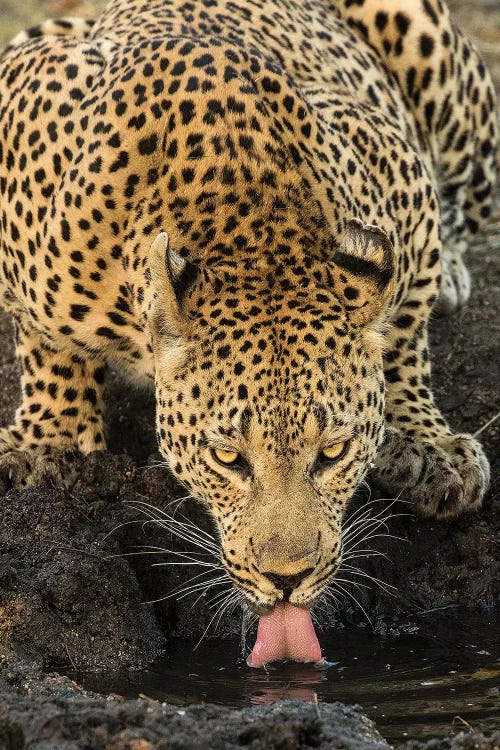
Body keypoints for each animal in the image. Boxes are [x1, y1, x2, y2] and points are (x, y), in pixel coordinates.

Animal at [0, 0, 494, 616]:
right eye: (229, 459)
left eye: (333, 452)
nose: (288, 579)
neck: (254, 236)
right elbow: (49, 344)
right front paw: (52, 443)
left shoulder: (395, 162)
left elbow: (404, 325)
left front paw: (427, 443)